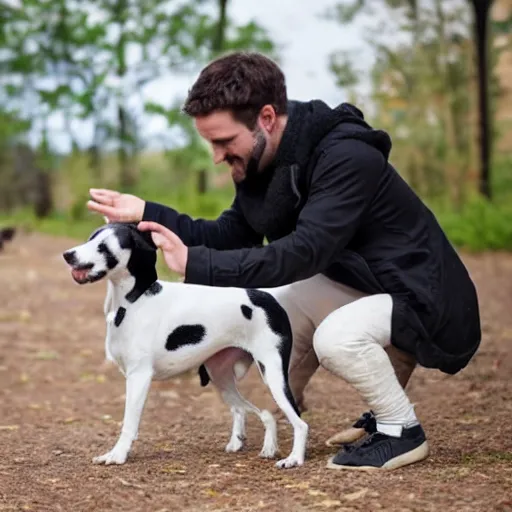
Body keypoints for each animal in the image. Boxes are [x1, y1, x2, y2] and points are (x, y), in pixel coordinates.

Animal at [61, 222, 306, 470]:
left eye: (103, 246)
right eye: (90, 238)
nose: (68, 255)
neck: (133, 303)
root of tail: (268, 298)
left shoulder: (139, 377)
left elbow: (129, 424)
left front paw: (118, 455)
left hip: (273, 376)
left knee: (299, 422)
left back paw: (294, 458)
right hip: (221, 377)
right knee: (258, 412)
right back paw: (264, 447)